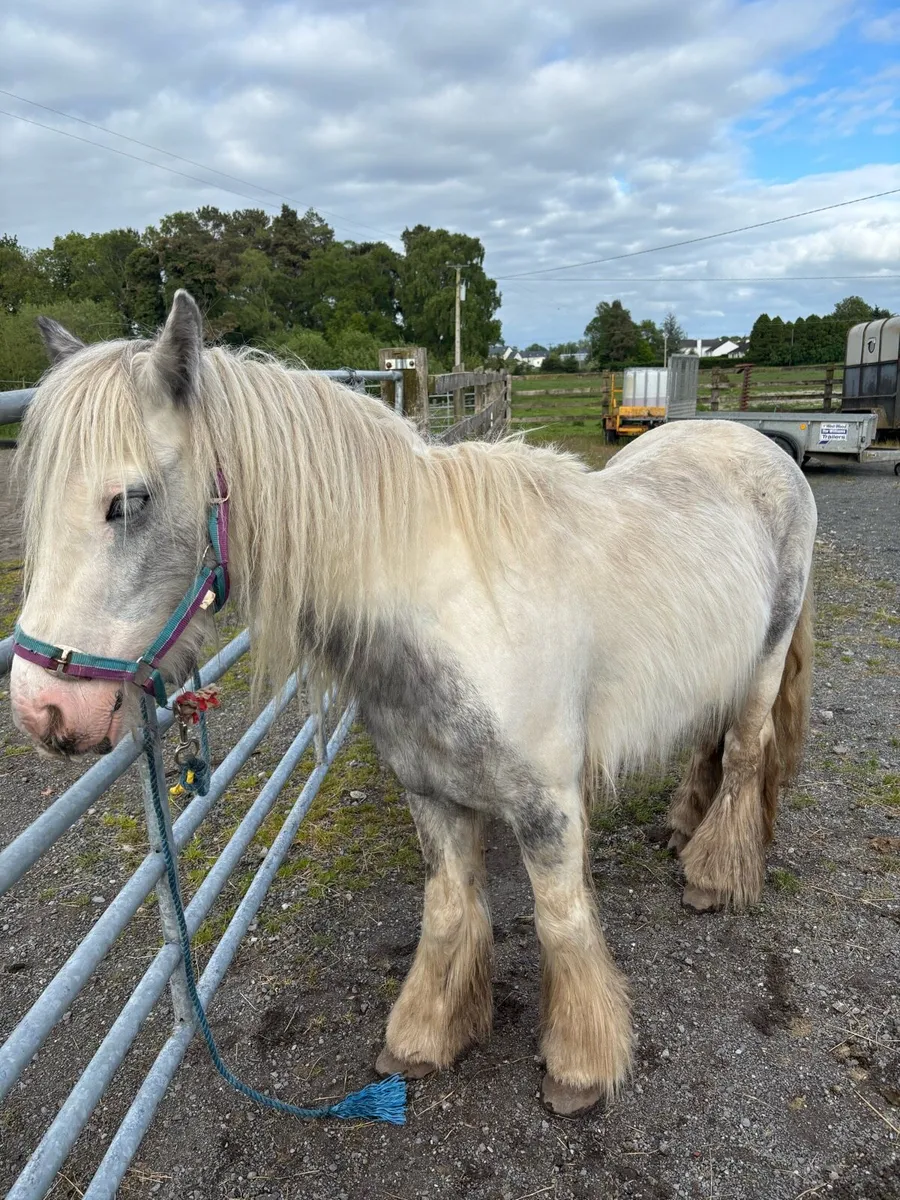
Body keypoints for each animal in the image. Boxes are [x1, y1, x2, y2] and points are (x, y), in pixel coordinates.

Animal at [9, 291, 817, 1116]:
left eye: (128, 501)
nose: (43, 711)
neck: (453, 614)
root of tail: (755, 444)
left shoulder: (549, 807)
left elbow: (561, 921)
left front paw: (580, 1066)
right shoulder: (431, 794)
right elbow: (450, 909)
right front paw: (427, 1035)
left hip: (763, 656)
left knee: (744, 752)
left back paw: (713, 875)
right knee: (709, 739)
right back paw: (684, 825)